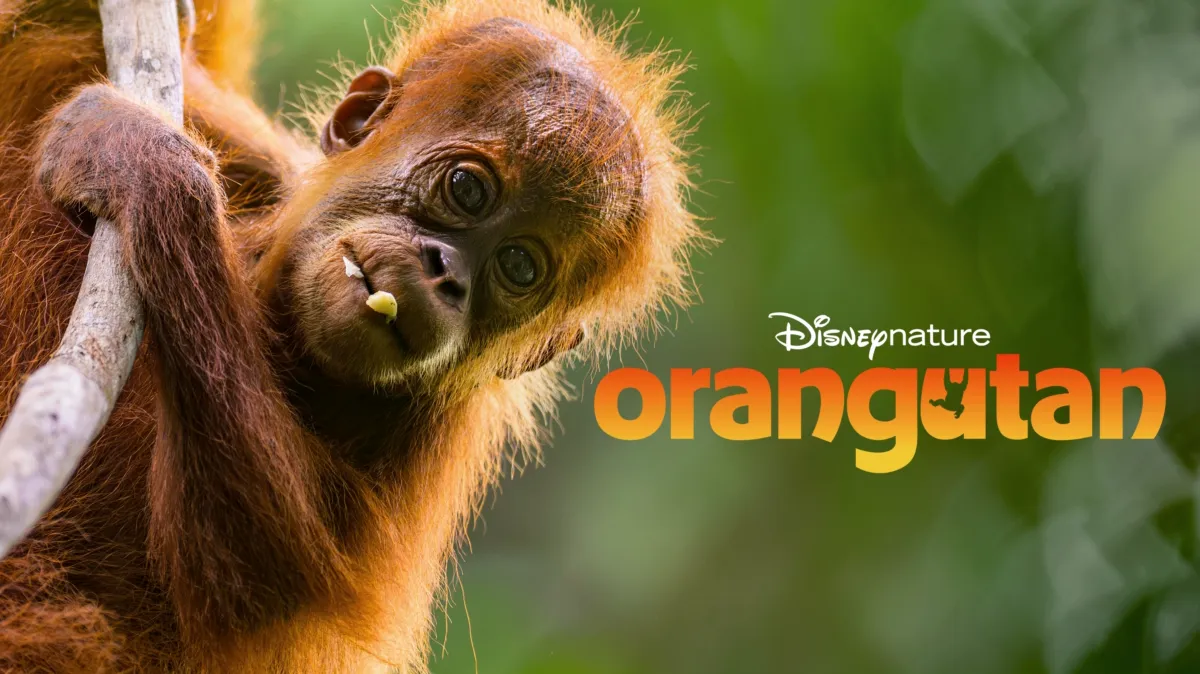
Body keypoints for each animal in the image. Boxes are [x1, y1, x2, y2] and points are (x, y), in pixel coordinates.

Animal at [0, 0, 702, 671]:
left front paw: (143, 166)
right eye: (467, 188)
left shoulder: (427, 444)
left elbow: (254, 578)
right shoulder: (262, 167)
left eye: (520, 267)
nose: (446, 274)